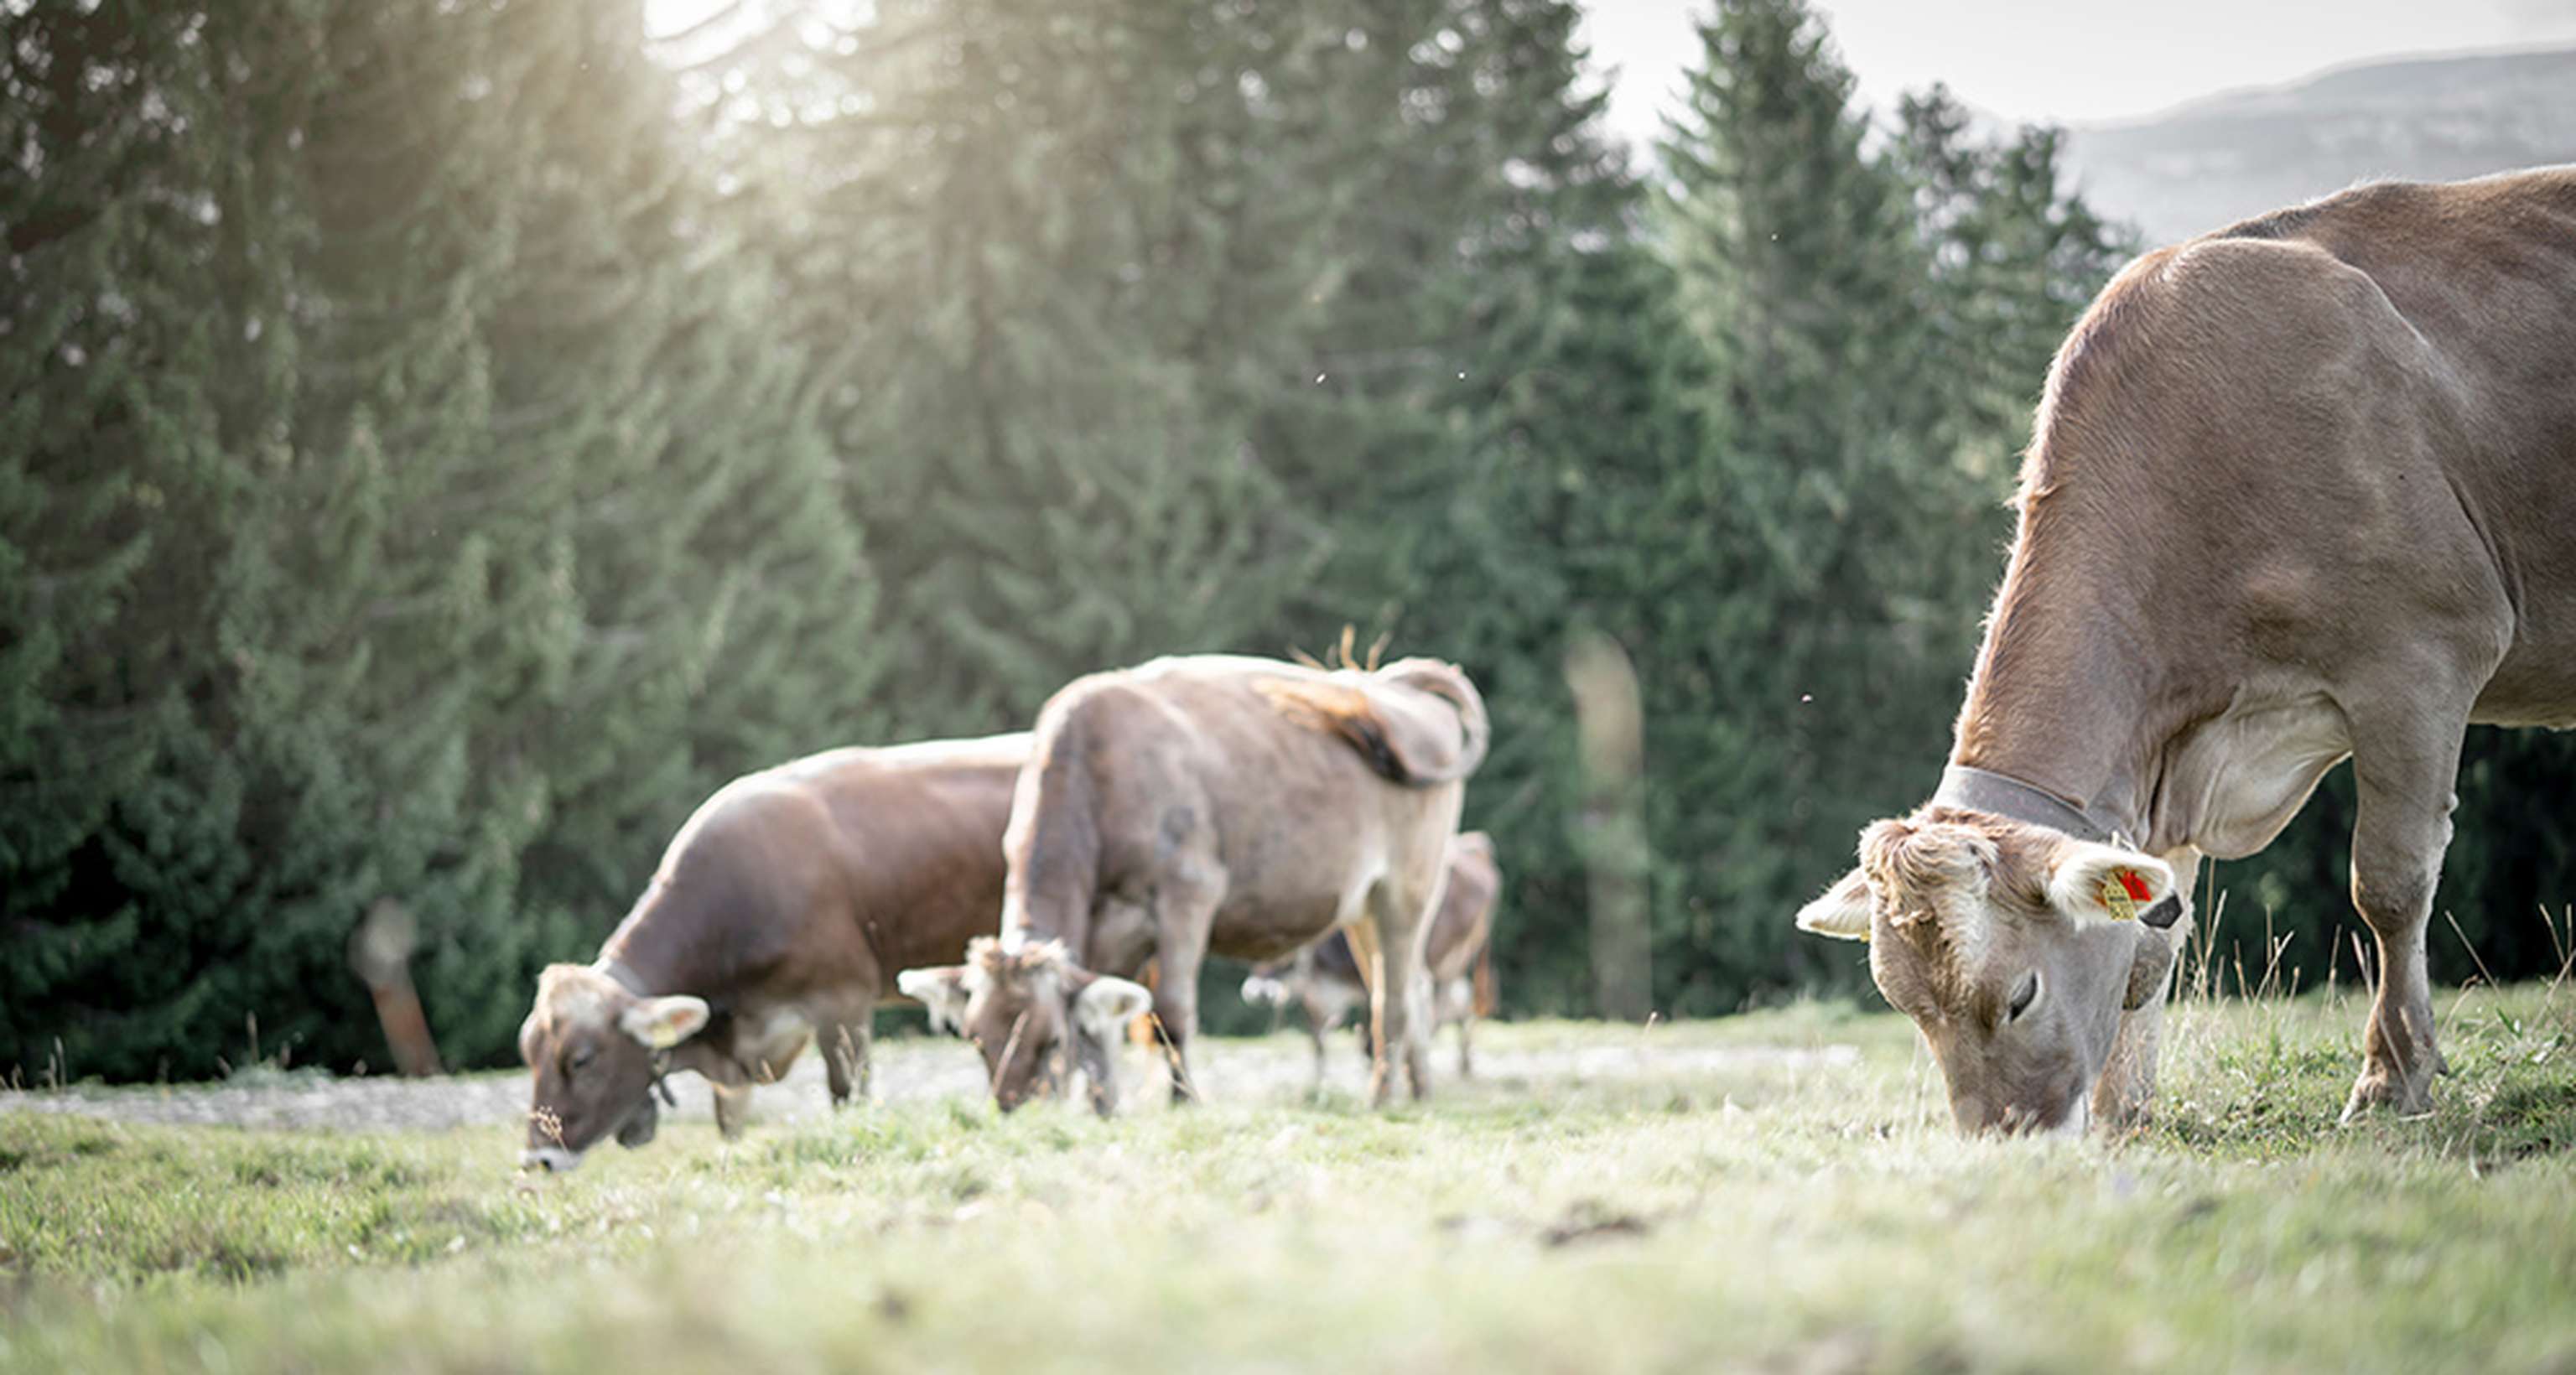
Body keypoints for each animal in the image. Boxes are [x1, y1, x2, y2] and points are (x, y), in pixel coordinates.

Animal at [516, 733, 1027, 1171]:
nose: (538, 1159)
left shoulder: (842, 1001)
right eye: (529, 1053)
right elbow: (729, 1124)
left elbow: (849, 1096)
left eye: (581, 1059)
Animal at [1242, 830, 1501, 1085]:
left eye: (1284, 954)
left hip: (1449, 960)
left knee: (1447, 1004)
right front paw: (1319, 1081)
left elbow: (1370, 1033)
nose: (1258, 992)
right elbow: (1319, 1040)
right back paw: (1461, 1064)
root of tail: (1475, 847)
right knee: (1460, 1003)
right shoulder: (1318, 998)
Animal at [1793, 166, 2576, 1134]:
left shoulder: (2424, 657)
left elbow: (2390, 885)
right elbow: (2152, 942)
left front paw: (2391, 1080)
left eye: (2019, 995)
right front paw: (2125, 1110)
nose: (2002, 1142)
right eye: (1909, 1009)